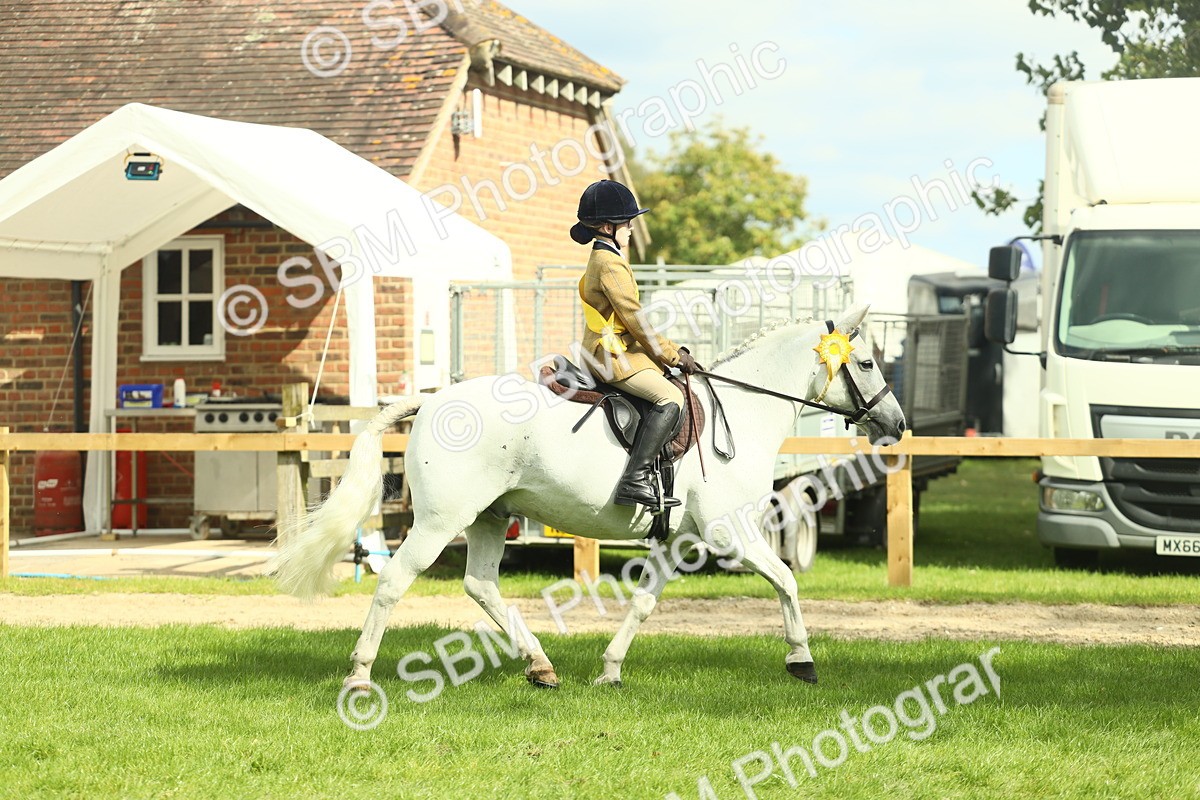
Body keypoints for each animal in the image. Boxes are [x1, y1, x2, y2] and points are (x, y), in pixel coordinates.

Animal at [272, 304, 906, 692]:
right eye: (867, 362)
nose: (896, 424)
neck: (746, 410)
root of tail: (432, 400)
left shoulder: (677, 541)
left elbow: (645, 604)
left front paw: (610, 670)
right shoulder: (733, 533)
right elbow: (788, 580)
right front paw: (802, 660)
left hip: (488, 517)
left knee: (480, 584)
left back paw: (541, 666)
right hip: (438, 522)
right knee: (393, 582)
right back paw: (360, 675)